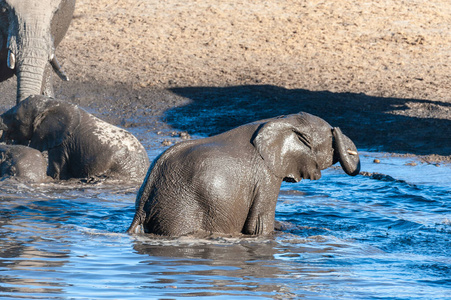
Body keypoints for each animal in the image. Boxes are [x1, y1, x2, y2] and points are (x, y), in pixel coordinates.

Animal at [127, 112, 360, 237]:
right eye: (331, 139)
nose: (337, 129)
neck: (281, 119)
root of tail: (142, 206)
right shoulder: (266, 176)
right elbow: (258, 226)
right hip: (180, 210)